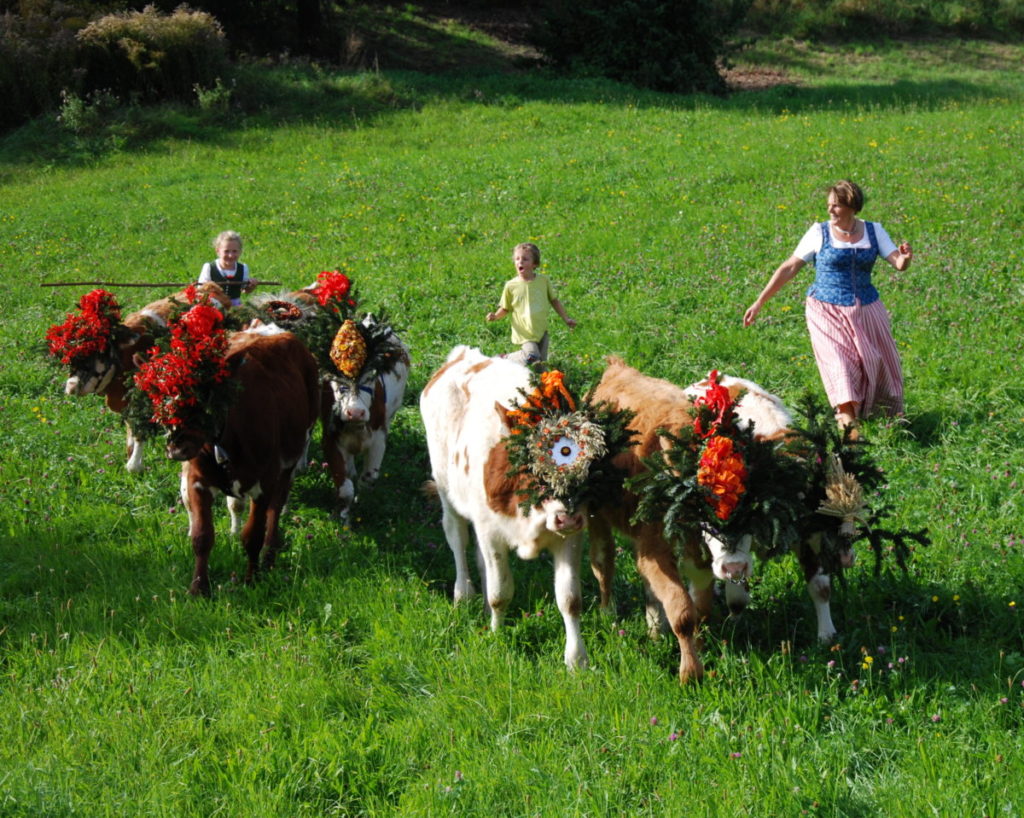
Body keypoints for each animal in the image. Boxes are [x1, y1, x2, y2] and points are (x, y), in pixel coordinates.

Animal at [57, 284, 232, 472]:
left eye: (101, 353)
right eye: (70, 358)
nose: (71, 387)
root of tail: (210, 287)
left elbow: (140, 432)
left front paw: (134, 465)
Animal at [167, 323, 319, 597]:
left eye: (205, 396)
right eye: (165, 398)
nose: (177, 447)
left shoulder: (264, 482)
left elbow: (253, 534)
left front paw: (252, 579)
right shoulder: (197, 480)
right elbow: (202, 536)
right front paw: (198, 588)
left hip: (290, 458)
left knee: (276, 506)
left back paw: (269, 556)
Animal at [323, 317, 411, 522]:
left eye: (371, 378)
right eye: (338, 383)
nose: (355, 412)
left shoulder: (379, 438)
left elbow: (368, 478)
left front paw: (362, 503)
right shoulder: (330, 439)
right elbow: (345, 487)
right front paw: (344, 516)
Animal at [417, 346, 593, 671]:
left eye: (591, 465)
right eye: (534, 465)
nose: (567, 517)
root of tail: (463, 355)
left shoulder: (571, 539)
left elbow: (570, 599)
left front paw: (577, 660)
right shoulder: (491, 534)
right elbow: (500, 592)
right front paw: (497, 636)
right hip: (447, 490)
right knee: (457, 539)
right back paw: (464, 594)